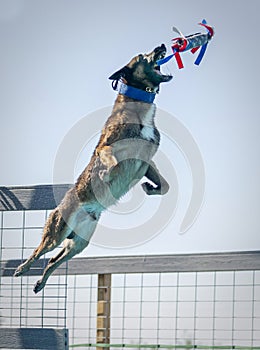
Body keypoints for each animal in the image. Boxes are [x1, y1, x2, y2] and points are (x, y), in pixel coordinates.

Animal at [14, 43, 173, 292]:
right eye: (141, 56)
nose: (162, 46)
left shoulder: (147, 161)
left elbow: (166, 186)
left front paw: (151, 188)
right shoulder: (106, 148)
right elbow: (111, 161)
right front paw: (107, 175)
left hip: (79, 243)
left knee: (53, 260)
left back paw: (40, 283)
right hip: (57, 233)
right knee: (40, 251)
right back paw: (22, 268)